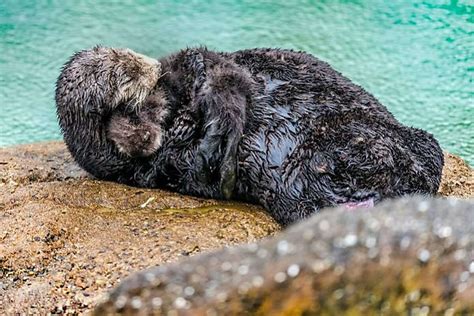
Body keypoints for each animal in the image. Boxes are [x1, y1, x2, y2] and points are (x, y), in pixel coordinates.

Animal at [56, 46, 444, 225]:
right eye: (129, 75)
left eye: (133, 62)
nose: (155, 68)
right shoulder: (145, 165)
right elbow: (185, 160)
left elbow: (203, 65)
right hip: (302, 187)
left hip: (420, 140)